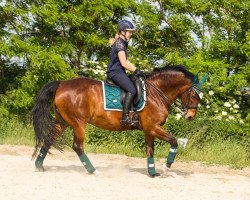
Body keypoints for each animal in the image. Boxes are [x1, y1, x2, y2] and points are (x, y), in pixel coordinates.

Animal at [31, 64, 205, 177]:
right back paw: (93, 170)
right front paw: (167, 167)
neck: (156, 93)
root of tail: (61, 84)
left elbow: (150, 150)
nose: (190, 116)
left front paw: (152, 172)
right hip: (79, 123)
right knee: (78, 146)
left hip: (63, 122)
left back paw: (39, 166)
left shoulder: (149, 130)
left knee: (49, 139)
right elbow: (174, 142)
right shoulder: (153, 127)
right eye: (194, 95)